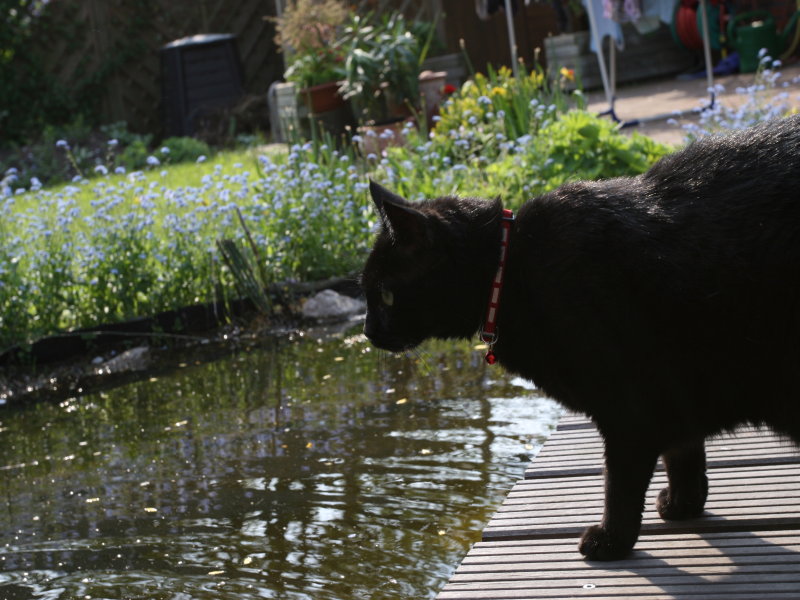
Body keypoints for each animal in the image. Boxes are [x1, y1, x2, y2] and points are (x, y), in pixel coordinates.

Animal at [360, 113, 800, 564]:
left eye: (386, 295)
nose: (367, 330)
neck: (510, 269)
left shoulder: (630, 407)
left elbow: (619, 485)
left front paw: (611, 540)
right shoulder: (675, 394)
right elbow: (683, 452)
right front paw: (683, 504)